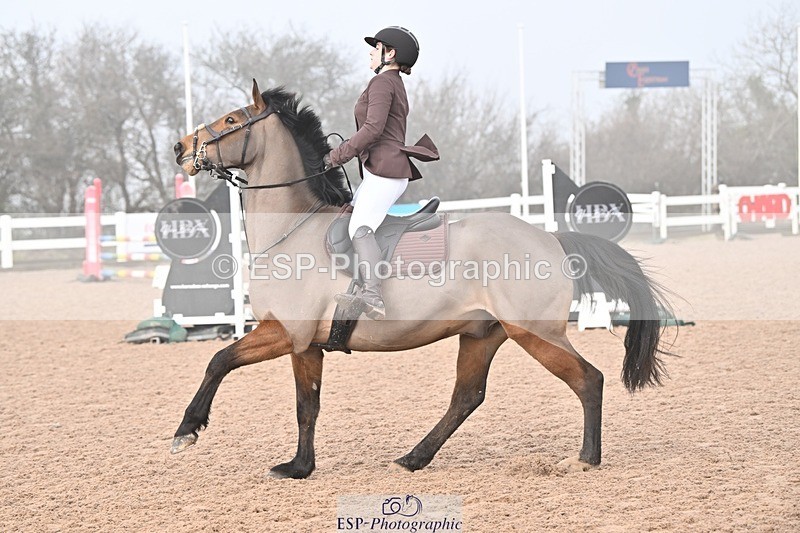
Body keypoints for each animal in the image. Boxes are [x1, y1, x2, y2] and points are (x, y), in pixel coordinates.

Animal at [170, 79, 673, 479]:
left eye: (232, 118)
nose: (179, 148)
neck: (292, 229)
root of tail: (551, 239)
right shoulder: (305, 344)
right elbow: (306, 406)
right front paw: (299, 468)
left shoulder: (283, 332)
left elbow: (218, 360)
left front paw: (187, 431)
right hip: (481, 334)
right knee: (466, 397)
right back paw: (414, 458)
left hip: (535, 333)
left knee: (589, 380)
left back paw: (585, 458)